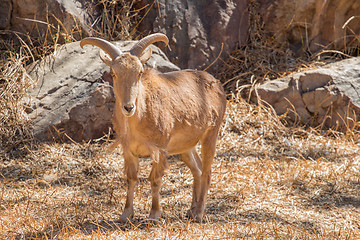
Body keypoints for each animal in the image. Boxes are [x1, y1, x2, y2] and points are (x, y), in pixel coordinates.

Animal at [80, 32, 226, 222]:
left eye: (140, 72)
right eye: (113, 73)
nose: (128, 107)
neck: (138, 122)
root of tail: (217, 84)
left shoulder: (159, 149)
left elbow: (155, 180)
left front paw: (154, 215)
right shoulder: (129, 151)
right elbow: (131, 178)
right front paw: (126, 215)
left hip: (211, 134)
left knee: (207, 173)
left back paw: (199, 213)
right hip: (186, 146)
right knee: (198, 170)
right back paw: (191, 210)